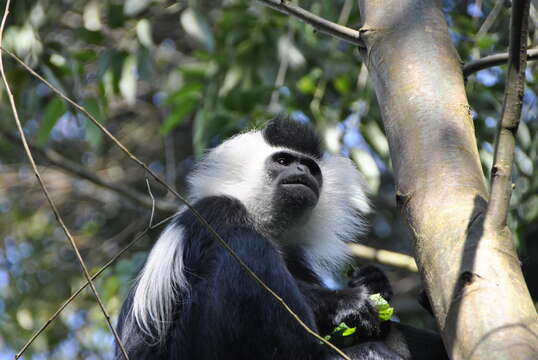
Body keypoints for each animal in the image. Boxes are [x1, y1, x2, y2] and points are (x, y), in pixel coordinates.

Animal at [115, 118, 446, 360]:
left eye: (310, 167)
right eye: (284, 161)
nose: (302, 170)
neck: (265, 222)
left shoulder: (295, 254)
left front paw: (374, 281)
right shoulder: (218, 212)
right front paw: (350, 301)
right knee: (247, 251)